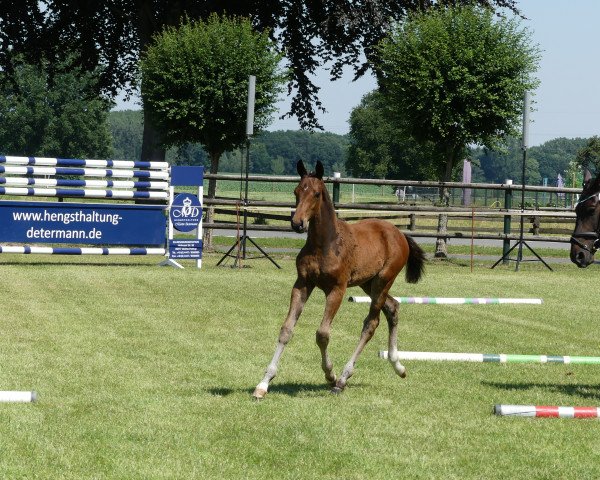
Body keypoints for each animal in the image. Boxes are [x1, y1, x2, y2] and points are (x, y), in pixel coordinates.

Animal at [253, 159, 426, 400]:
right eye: (296, 191)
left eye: (316, 194)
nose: (297, 223)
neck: (324, 244)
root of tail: (400, 234)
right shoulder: (302, 284)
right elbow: (286, 330)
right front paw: (263, 383)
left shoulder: (337, 289)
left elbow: (322, 334)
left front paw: (330, 375)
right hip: (368, 283)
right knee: (393, 307)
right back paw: (398, 366)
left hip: (383, 280)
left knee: (371, 323)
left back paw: (343, 379)